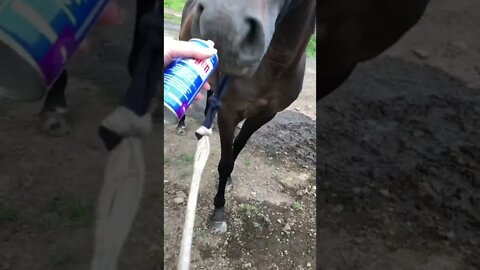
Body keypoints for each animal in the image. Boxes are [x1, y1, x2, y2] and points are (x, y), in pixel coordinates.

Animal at [178, 0, 316, 232]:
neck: (274, 67)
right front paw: (218, 211)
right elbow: (225, 162)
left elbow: (235, 150)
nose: (221, 26)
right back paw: (181, 124)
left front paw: (228, 181)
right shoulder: (228, 113)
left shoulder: (263, 116)